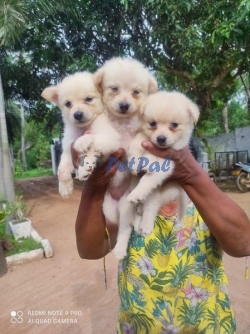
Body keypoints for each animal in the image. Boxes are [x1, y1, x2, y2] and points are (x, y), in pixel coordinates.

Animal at [114, 90, 200, 258]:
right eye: (152, 124)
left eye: (174, 125)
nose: (161, 138)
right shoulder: (141, 139)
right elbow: (136, 146)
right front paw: (135, 164)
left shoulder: (167, 164)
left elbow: (147, 178)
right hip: (125, 206)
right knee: (125, 229)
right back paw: (120, 249)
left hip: (159, 194)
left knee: (150, 209)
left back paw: (145, 225)